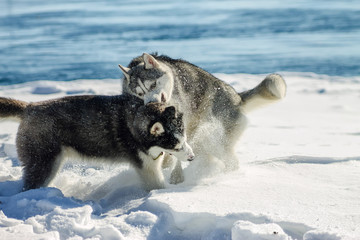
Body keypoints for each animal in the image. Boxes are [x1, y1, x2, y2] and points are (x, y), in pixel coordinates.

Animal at [0, 94, 194, 191]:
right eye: (175, 145)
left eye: (184, 139)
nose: (192, 157)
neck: (134, 122)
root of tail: (29, 107)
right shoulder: (146, 167)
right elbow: (156, 185)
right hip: (44, 162)